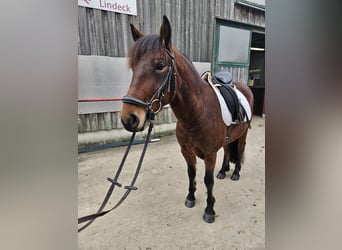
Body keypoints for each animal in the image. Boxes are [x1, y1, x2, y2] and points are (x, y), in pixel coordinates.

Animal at [119, 16, 251, 223]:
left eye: (160, 65)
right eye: (133, 67)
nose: (129, 117)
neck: (197, 114)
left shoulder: (209, 155)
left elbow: (208, 181)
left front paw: (209, 210)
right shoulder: (187, 152)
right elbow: (191, 174)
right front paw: (191, 197)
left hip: (243, 134)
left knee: (239, 150)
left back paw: (235, 173)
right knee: (227, 151)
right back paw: (223, 171)